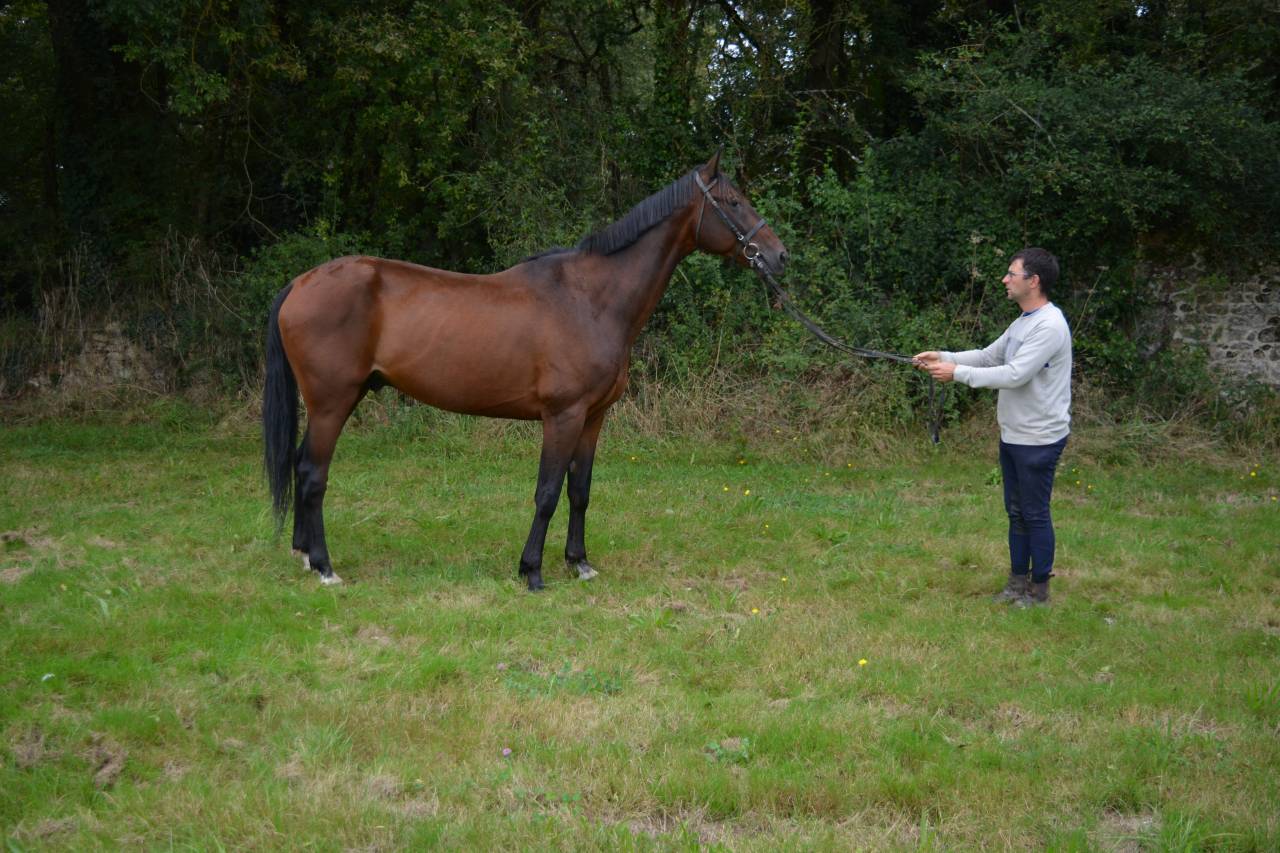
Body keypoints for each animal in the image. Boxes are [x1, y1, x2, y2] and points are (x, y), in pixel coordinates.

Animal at [262, 151, 788, 591]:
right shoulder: (563, 415)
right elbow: (548, 492)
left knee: (300, 463)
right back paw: (325, 567)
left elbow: (580, 490)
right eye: (734, 202)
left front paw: (579, 563)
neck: (591, 299)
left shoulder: (593, 417)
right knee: (312, 472)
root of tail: (301, 283)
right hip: (332, 401)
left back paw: (304, 554)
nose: (779, 255)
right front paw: (532, 571)